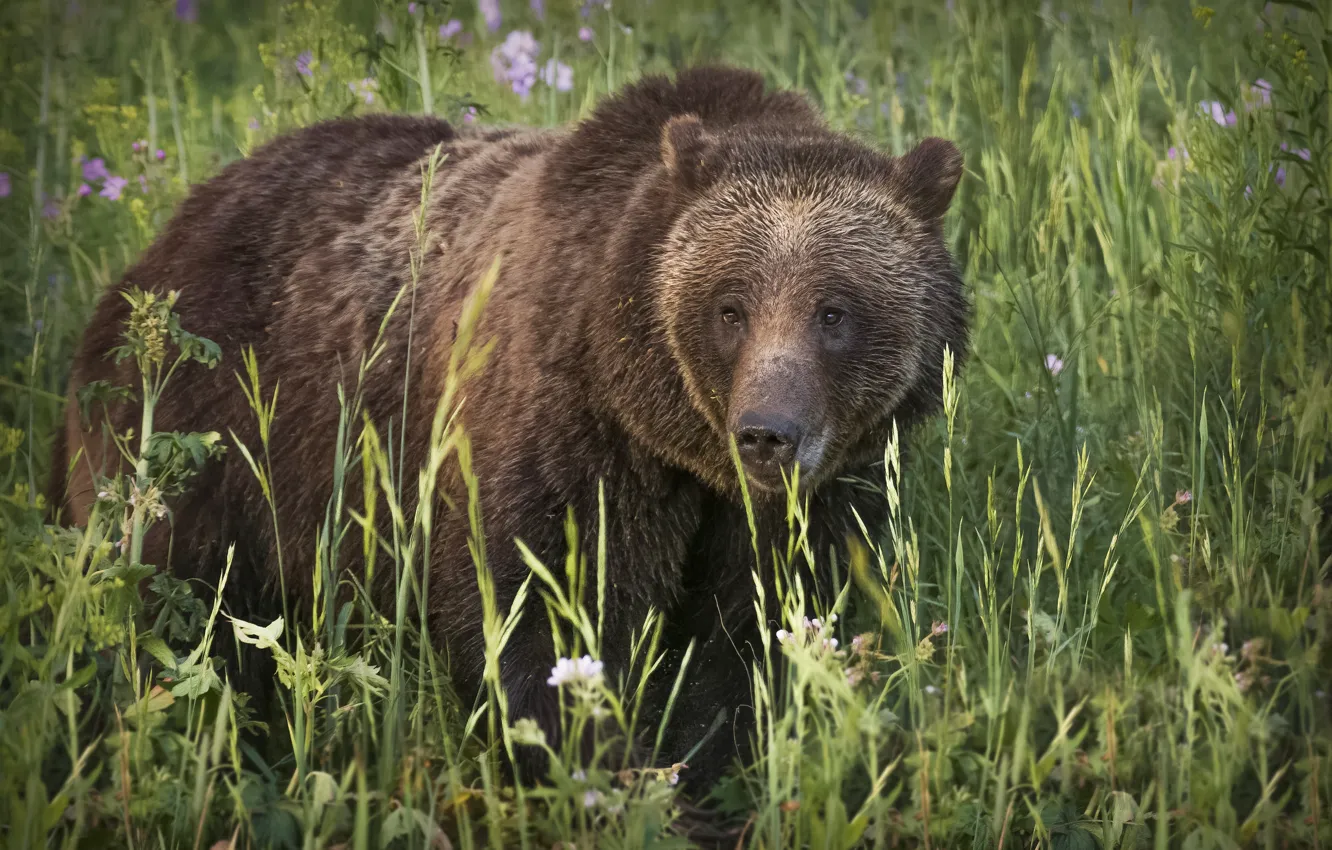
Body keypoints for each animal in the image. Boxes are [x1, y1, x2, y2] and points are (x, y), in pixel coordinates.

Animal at [49, 65, 968, 794]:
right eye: (730, 307)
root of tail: (172, 226)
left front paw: (708, 769)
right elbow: (540, 618)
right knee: (179, 614)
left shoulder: (812, 503)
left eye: (834, 310)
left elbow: (756, 638)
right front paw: (602, 775)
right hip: (211, 431)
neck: (668, 435)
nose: (766, 434)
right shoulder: (562, 437)